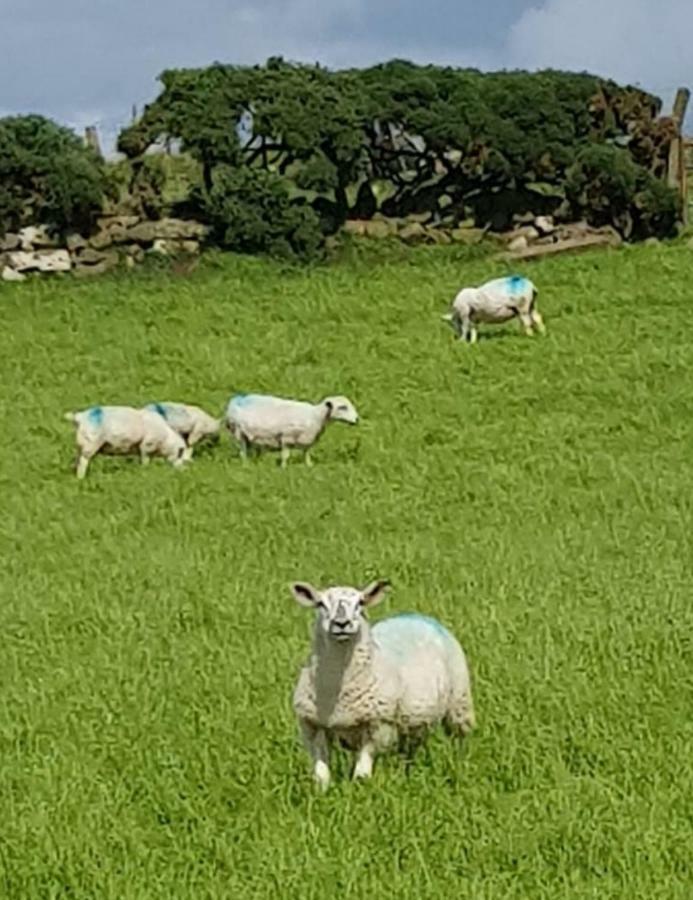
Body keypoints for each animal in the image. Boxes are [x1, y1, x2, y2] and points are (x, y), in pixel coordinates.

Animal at [226, 390, 360, 468]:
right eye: (342, 407)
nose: (357, 419)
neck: (315, 416)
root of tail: (237, 399)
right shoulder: (286, 438)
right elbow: (285, 456)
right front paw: (284, 468)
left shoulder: (307, 440)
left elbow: (306, 453)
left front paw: (309, 465)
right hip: (239, 433)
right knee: (242, 452)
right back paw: (245, 465)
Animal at [290, 580, 474, 792]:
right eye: (320, 604)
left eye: (361, 603)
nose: (342, 624)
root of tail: (414, 615)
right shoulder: (312, 726)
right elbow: (321, 773)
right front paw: (322, 793)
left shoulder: (378, 726)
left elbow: (361, 774)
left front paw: (360, 793)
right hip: (412, 721)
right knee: (408, 750)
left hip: (459, 704)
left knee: (458, 738)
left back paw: (459, 764)